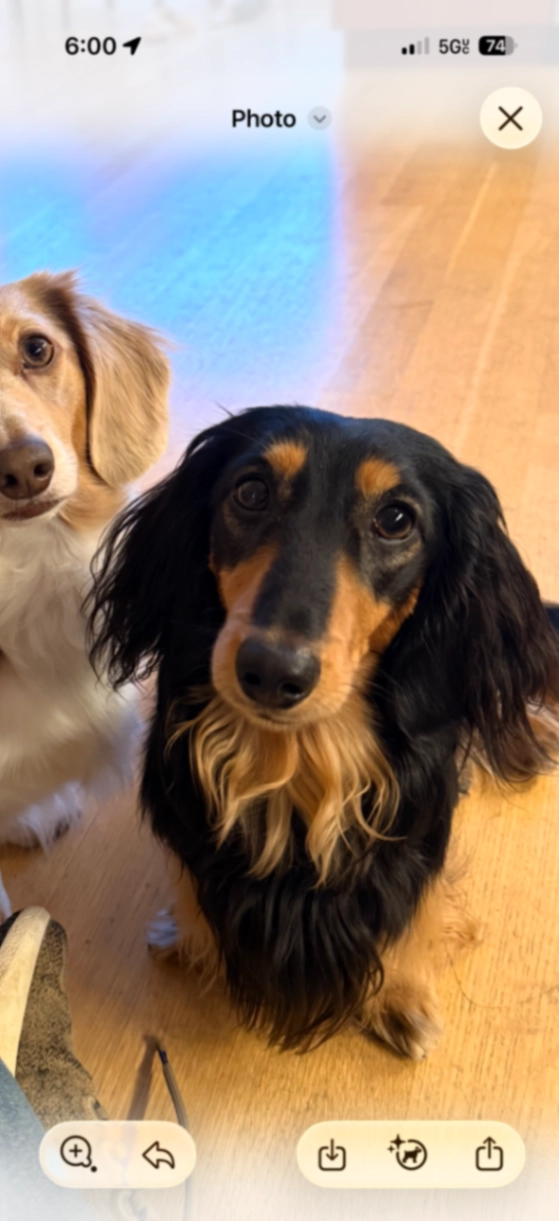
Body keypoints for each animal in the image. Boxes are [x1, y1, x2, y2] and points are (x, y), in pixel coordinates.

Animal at [88, 406, 559, 1058]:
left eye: (396, 519)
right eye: (251, 491)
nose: (270, 671)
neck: (295, 761)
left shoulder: (416, 843)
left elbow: (414, 917)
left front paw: (401, 998)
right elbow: (190, 890)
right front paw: (185, 937)